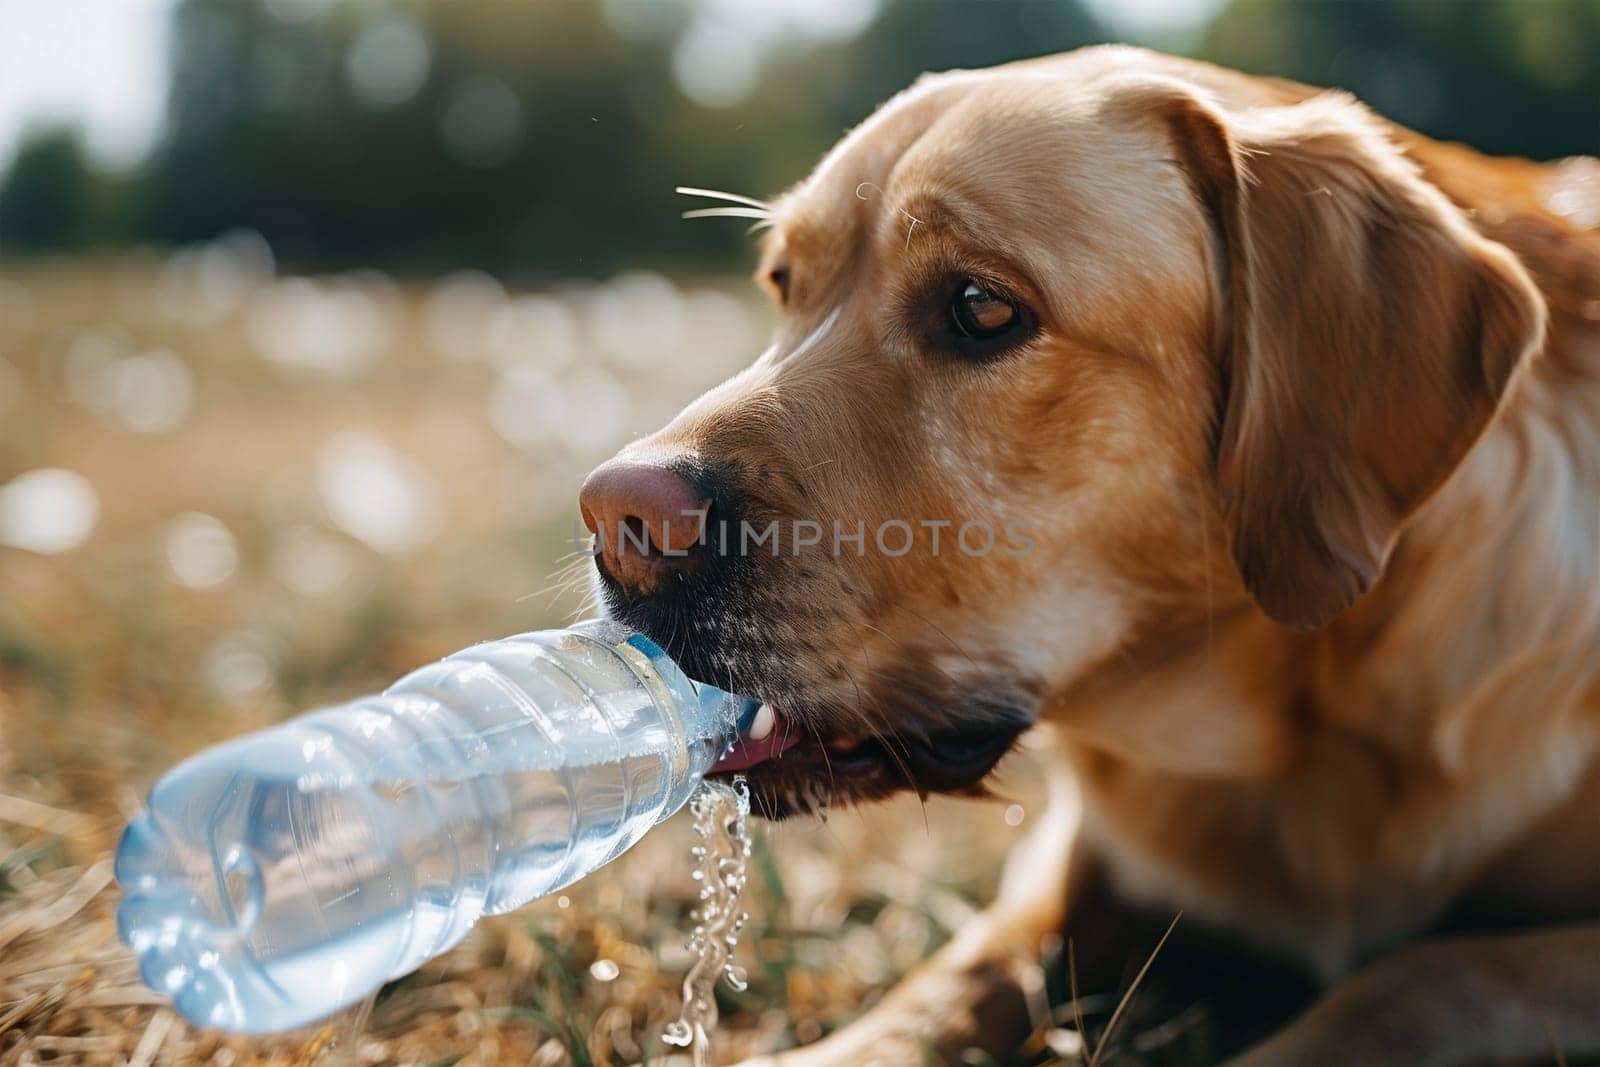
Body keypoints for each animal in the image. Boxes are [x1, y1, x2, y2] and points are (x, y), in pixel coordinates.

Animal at [579, 45, 1600, 1062]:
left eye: (982, 306)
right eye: (786, 283)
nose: (620, 519)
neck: (1292, 751)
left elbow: (1423, 976)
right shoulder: (1071, 868)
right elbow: (951, 979)